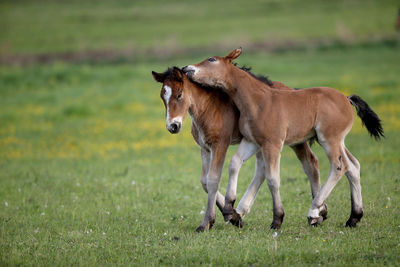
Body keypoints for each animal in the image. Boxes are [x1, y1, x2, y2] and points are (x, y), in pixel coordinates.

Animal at [151, 67, 322, 232]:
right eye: (162, 97)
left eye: (179, 94)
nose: (173, 126)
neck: (208, 108)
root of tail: (292, 89)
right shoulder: (205, 148)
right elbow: (204, 181)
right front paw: (231, 216)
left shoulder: (220, 145)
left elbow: (213, 179)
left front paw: (207, 222)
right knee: (262, 169)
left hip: (293, 140)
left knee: (310, 162)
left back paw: (317, 213)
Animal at [183, 49, 382, 229]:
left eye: (211, 59)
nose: (186, 68)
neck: (257, 100)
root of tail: (347, 99)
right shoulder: (252, 141)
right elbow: (235, 163)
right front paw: (230, 208)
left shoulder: (272, 144)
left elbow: (273, 179)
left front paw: (277, 219)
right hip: (335, 140)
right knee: (353, 166)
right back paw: (353, 217)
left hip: (329, 139)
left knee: (339, 166)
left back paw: (314, 211)